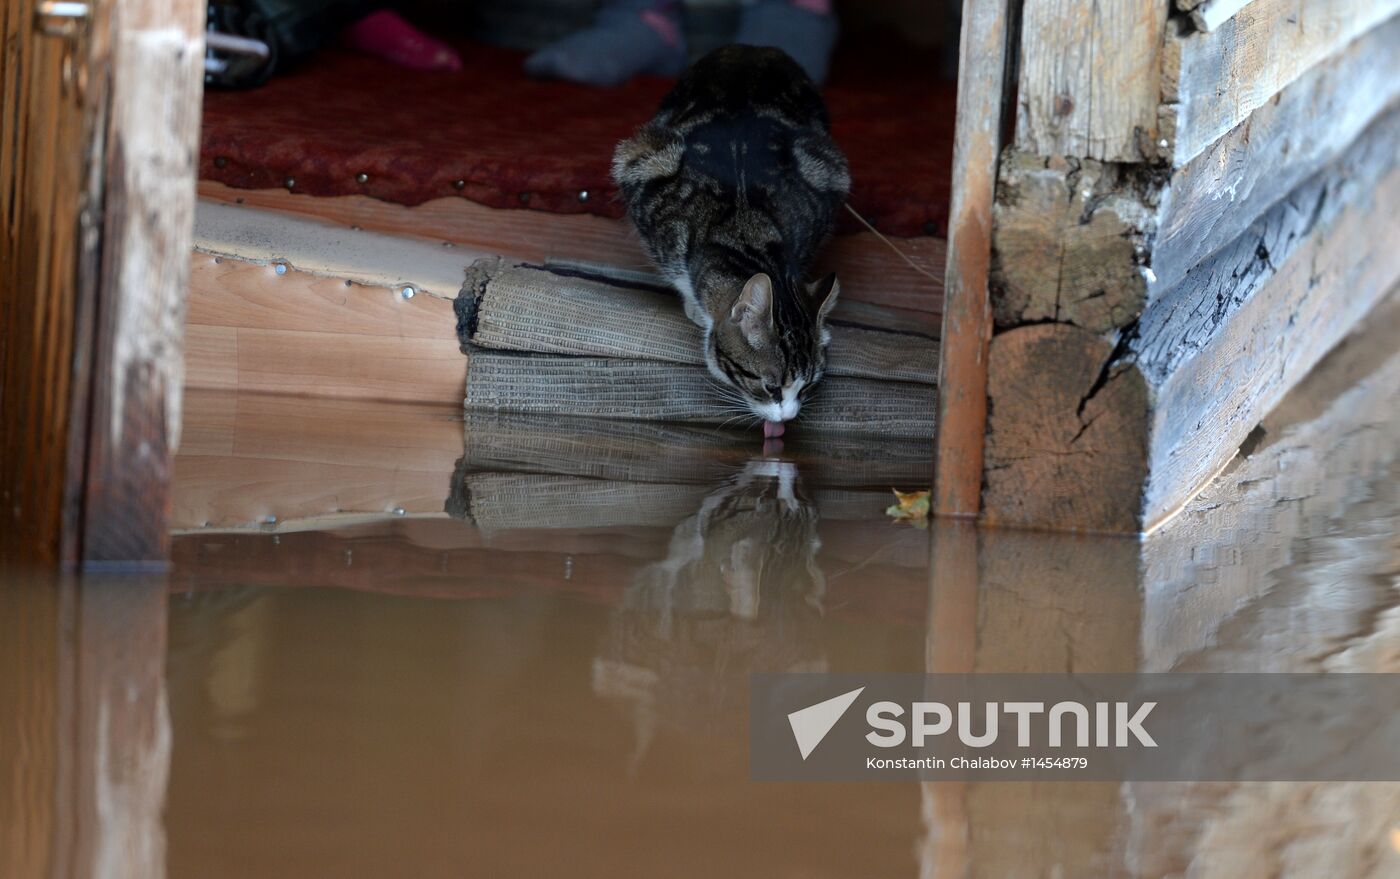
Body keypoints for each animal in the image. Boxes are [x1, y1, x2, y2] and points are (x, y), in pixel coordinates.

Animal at [616, 44, 851, 436]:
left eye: (808, 387)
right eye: (770, 386)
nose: (789, 417)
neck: (746, 232)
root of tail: (751, 49)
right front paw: (696, 308)